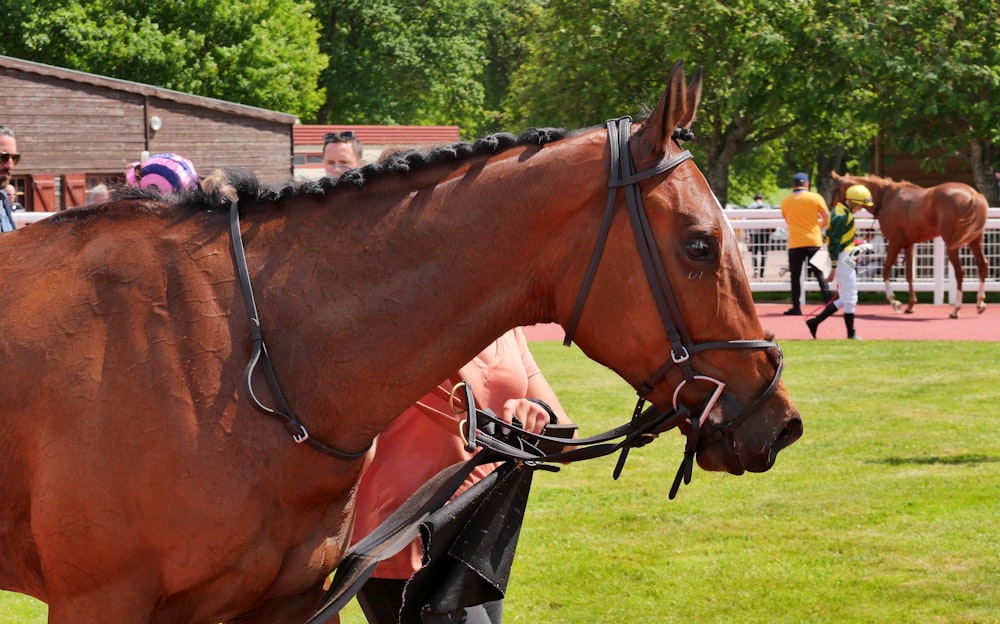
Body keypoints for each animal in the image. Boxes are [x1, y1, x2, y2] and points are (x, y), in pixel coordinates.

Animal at [832, 171, 988, 316]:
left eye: (834, 189)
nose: (833, 211)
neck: (887, 199)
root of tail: (973, 195)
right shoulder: (908, 244)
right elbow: (909, 274)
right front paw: (910, 305)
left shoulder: (895, 242)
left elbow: (886, 269)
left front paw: (894, 302)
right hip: (974, 239)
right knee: (982, 264)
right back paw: (979, 303)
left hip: (952, 244)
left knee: (960, 271)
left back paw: (956, 309)